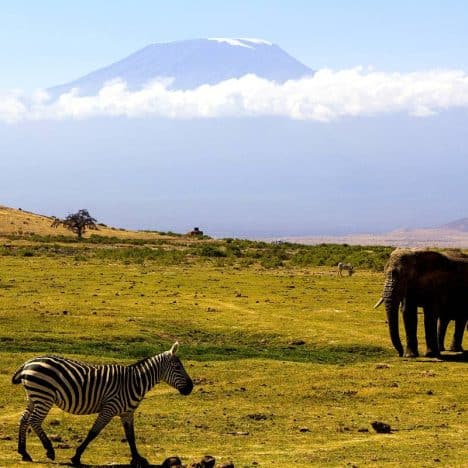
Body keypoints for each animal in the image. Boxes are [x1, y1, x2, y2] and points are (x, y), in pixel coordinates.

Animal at [11, 342, 193, 466]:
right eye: (178, 367)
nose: (191, 387)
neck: (135, 382)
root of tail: (28, 363)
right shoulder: (109, 408)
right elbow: (94, 432)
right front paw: (76, 457)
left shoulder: (127, 412)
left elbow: (131, 436)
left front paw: (138, 459)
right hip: (44, 396)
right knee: (34, 420)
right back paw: (49, 450)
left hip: (34, 396)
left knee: (24, 419)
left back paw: (24, 452)